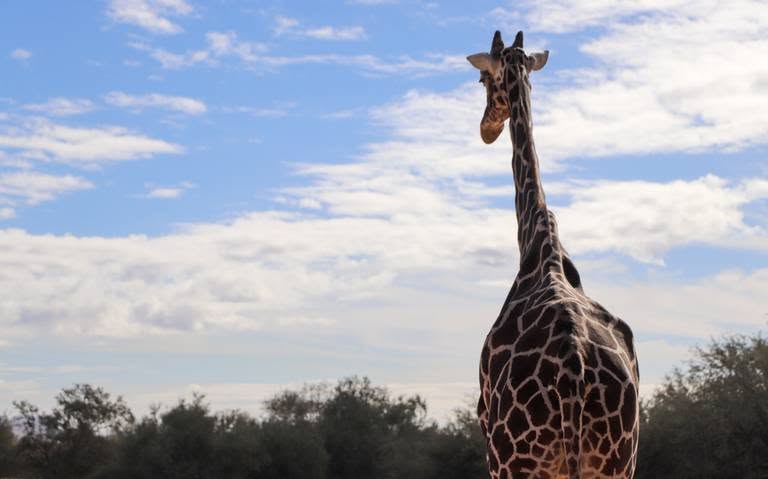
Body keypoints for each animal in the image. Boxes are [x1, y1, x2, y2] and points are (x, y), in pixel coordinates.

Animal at [467, 31, 640, 479]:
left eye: (482, 79)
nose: (486, 128)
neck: (537, 239)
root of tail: (574, 374)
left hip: (515, 460)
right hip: (617, 459)